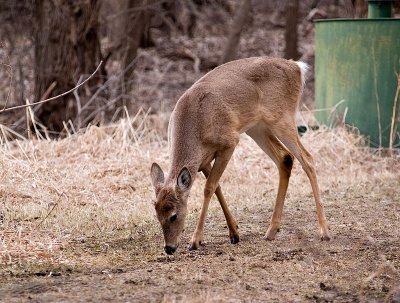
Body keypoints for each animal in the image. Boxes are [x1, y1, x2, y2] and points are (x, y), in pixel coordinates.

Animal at [150, 55, 332, 255]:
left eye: (174, 216)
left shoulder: (229, 142)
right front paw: (234, 232)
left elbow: (209, 188)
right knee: (285, 158)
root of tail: (297, 67)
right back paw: (271, 231)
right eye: (157, 215)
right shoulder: (203, 160)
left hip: (283, 118)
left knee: (307, 159)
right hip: (258, 127)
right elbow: (217, 187)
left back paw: (324, 231)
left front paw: (195, 240)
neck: (196, 127)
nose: (169, 248)